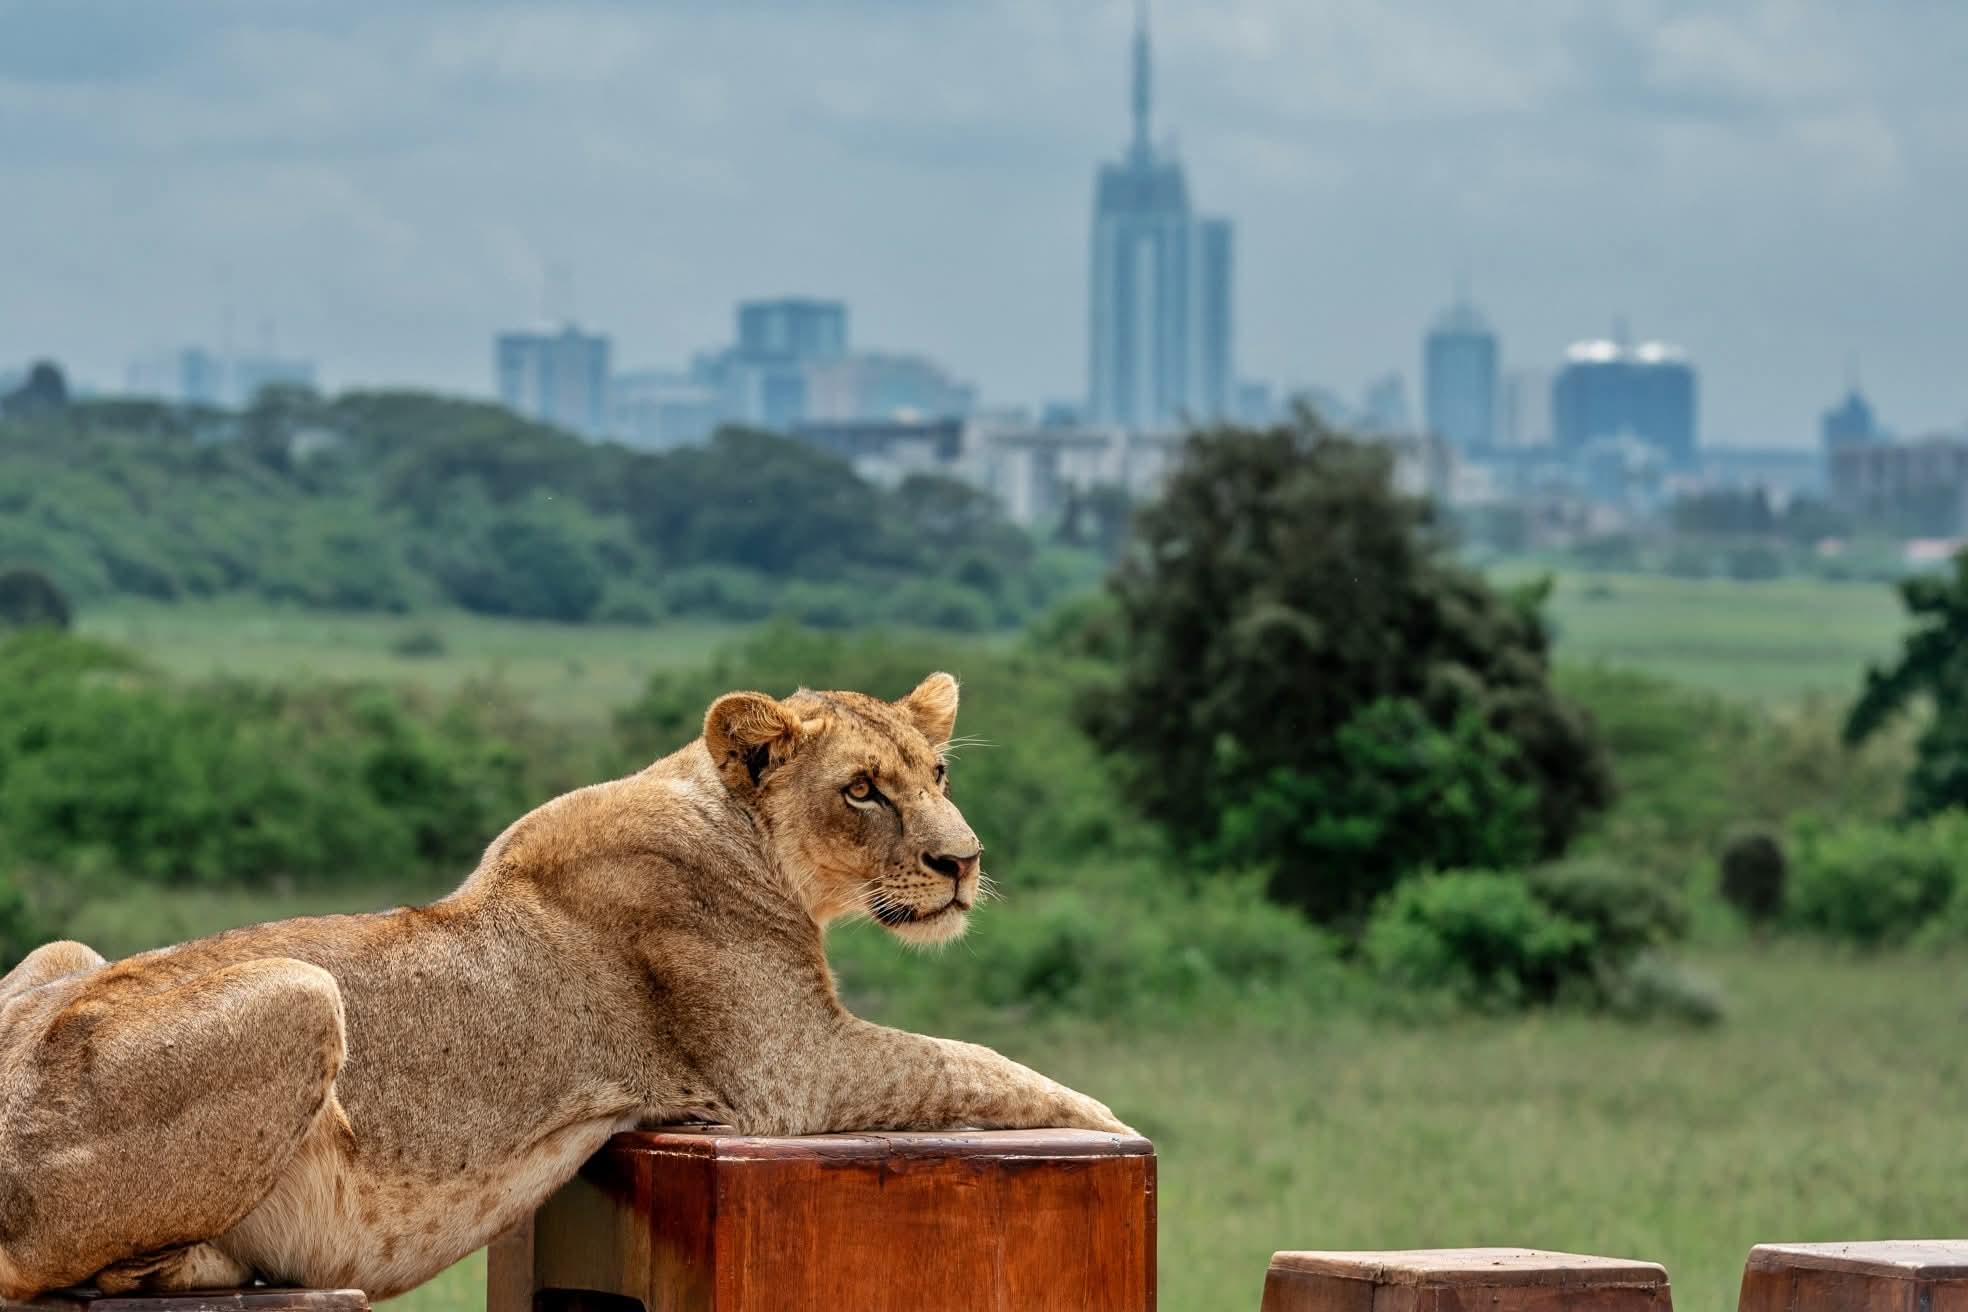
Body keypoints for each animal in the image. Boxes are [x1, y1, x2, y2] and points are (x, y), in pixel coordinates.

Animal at [0, 673, 1129, 1301]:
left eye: (938, 774)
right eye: (862, 790)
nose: (963, 862)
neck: (738, 829)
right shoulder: (792, 1074)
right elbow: (978, 1062)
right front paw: (1112, 1125)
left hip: (63, 950)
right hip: (302, 989)